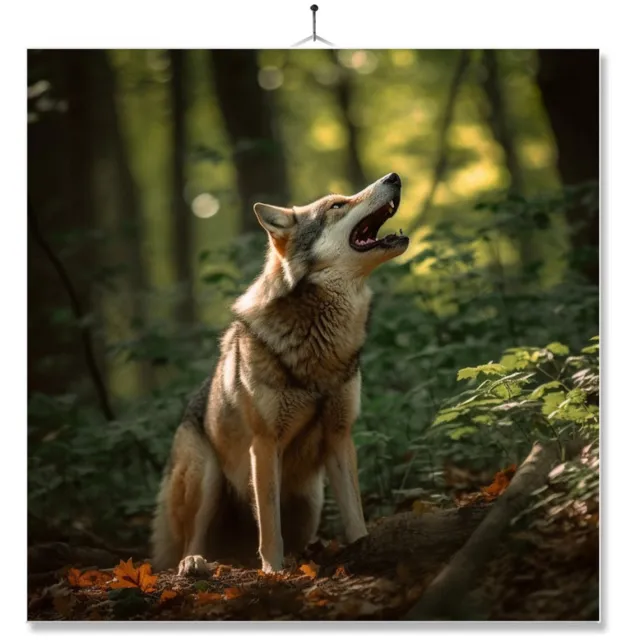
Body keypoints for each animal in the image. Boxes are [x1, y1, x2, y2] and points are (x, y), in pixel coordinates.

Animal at [150, 172, 409, 575]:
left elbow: (354, 515)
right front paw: (274, 571)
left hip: (310, 499)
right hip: (206, 476)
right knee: (192, 540)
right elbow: (270, 524)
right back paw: (194, 563)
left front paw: (363, 548)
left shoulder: (339, 437)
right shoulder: (265, 444)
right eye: (337, 205)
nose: (394, 176)